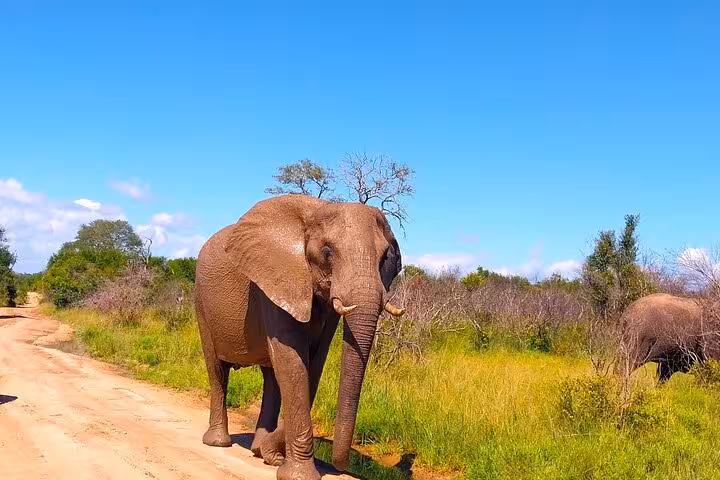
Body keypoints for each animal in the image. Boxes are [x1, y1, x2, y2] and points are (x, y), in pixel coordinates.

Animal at [194, 194, 405, 480]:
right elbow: (293, 361)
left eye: (385, 257)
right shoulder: (272, 278)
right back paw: (220, 443)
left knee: (271, 379)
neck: (319, 209)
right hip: (201, 302)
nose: (340, 467)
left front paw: (272, 457)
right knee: (217, 370)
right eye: (327, 252)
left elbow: (313, 364)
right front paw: (297, 475)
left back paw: (259, 451)